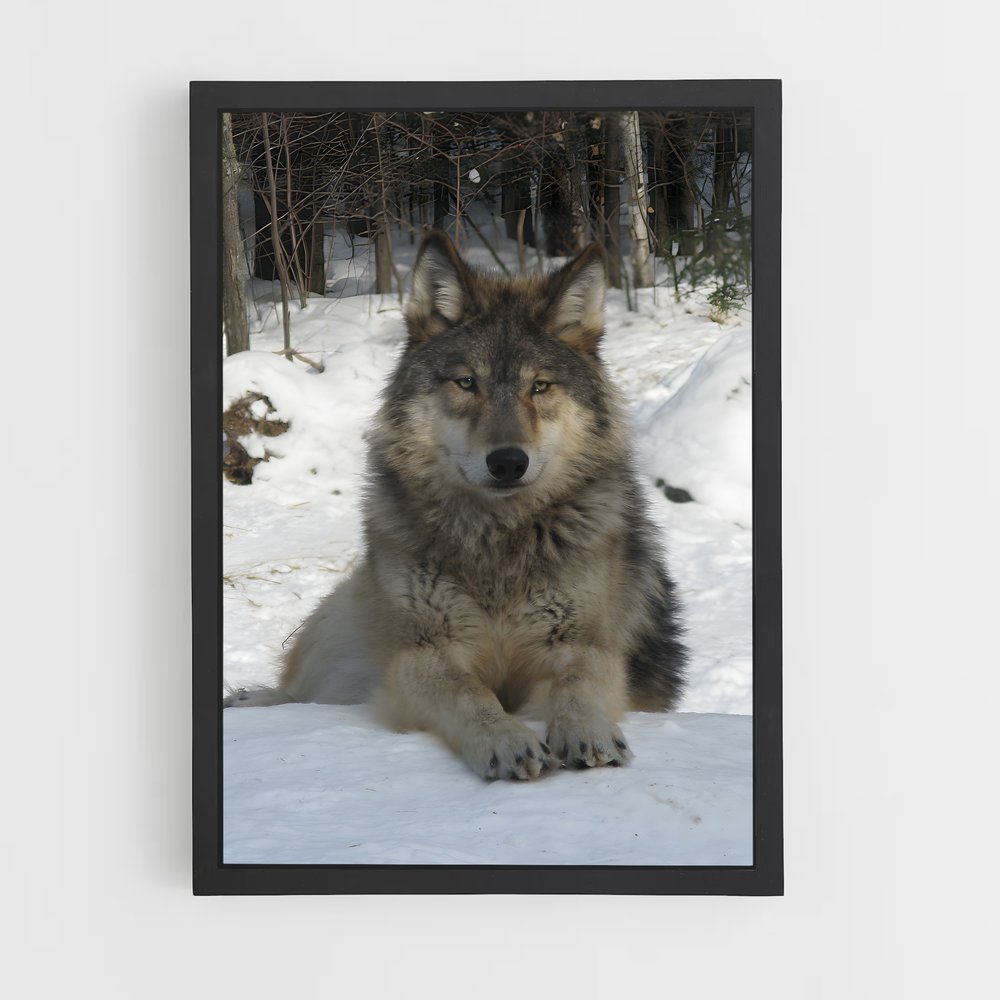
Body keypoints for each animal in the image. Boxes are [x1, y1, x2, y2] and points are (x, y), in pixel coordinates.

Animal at [227, 230, 686, 780]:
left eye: (540, 386)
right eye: (468, 383)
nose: (508, 462)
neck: (498, 542)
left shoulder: (585, 645)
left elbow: (577, 685)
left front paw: (587, 731)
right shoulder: (422, 654)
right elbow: (471, 693)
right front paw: (506, 740)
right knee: (300, 694)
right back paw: (250, 701)